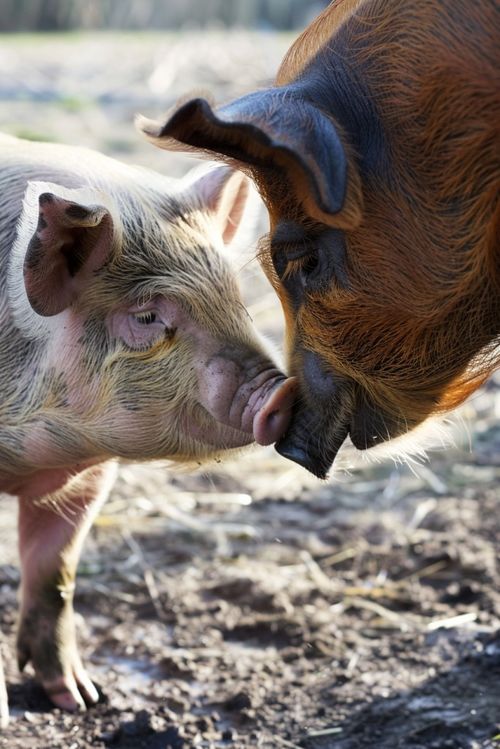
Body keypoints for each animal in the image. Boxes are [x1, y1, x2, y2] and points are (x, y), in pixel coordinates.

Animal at [0, 131, 296, 720]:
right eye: (146, 317)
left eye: (235, 299)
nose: (282, 390)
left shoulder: (85, 476)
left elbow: (55, 574)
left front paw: (80, 700)